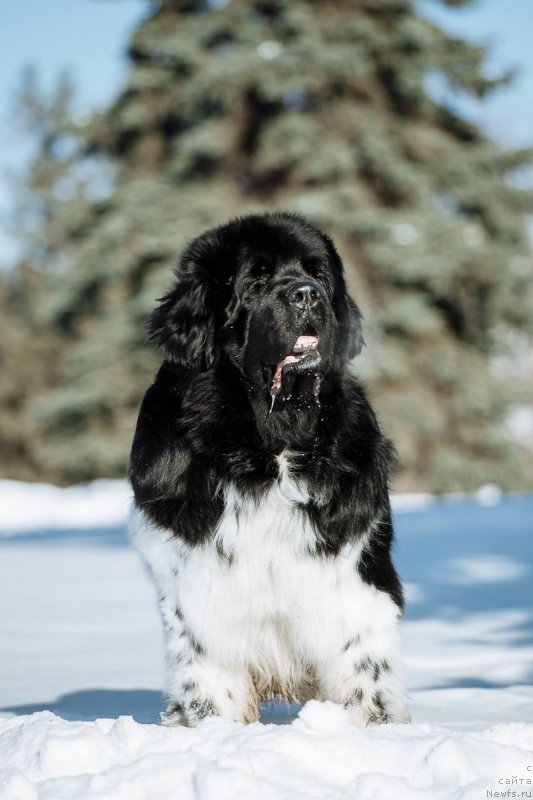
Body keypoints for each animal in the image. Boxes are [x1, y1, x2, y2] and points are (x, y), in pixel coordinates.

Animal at [128, 211, 408, 724]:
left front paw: (368, 726)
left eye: (319, 274)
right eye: (256, 279)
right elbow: (205, 672)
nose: (306, 294)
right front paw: (211, 728)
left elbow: (364, 663)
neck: (271, 443)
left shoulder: (355, 570)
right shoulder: (197, 579)